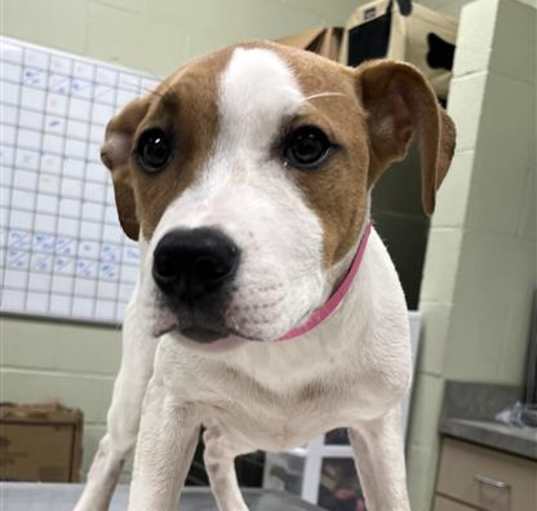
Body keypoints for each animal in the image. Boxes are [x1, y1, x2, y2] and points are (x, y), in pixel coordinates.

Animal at [73, 41, 454, 511]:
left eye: (308, 144)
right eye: (154, 146)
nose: (187, 261)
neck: (289, 342)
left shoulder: (377, 427)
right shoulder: (169, 410)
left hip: (246, 428)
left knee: (216, 450)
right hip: (137, 394)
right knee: (111, 450)